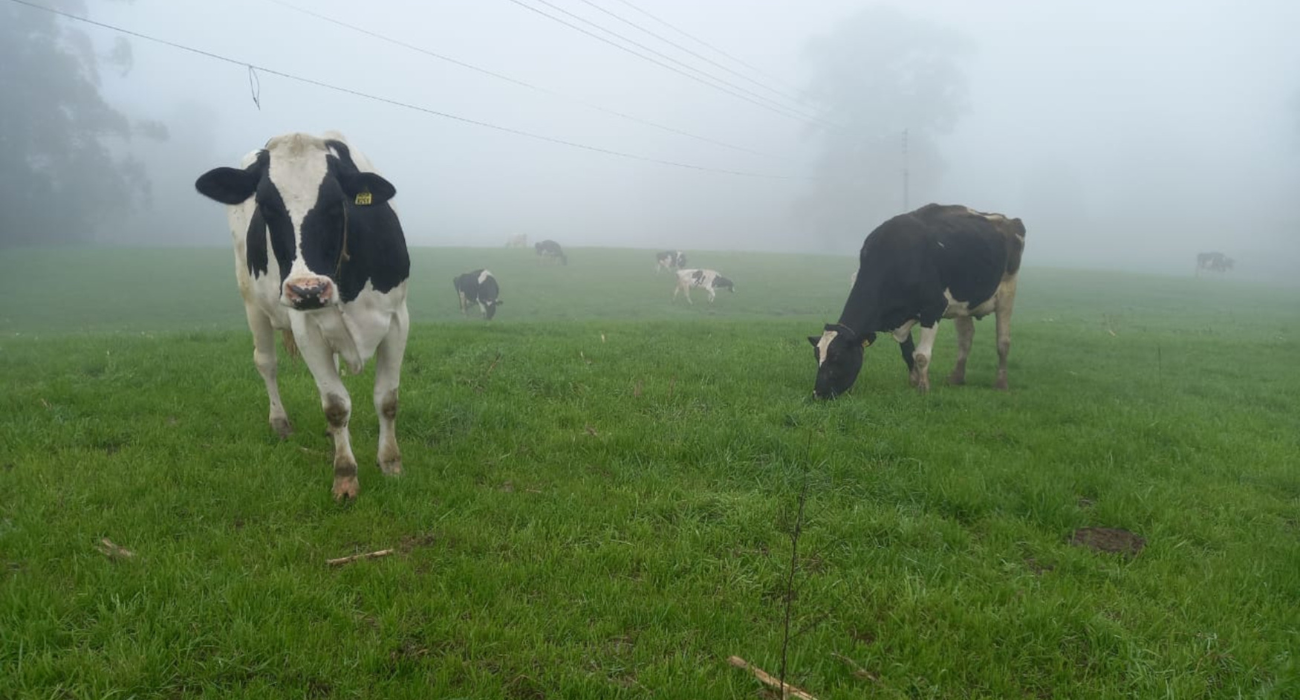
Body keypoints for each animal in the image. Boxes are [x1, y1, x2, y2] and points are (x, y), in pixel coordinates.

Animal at [189, 130, 405, 499]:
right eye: (265, 206)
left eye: (335, 203)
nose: (308, 290)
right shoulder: (306, 328)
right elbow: (336, 405)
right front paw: (345, 475)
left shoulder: (397, 319)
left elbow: (387, 399)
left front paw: (390, 463)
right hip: (252, 301)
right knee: (266, 362)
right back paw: (280, 422)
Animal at [806, 204, 1029, 395]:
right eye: (817, 356)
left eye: (838, 357)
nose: (818, 394)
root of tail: (1007, 219)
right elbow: (908, 351)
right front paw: (913, 381)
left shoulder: (934, 308)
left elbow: (921, 355)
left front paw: (923, 387)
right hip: (963, 303)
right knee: (965, 338)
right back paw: (956, 377)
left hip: (1007, 292)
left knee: (1003, 341)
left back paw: (1001, 382)